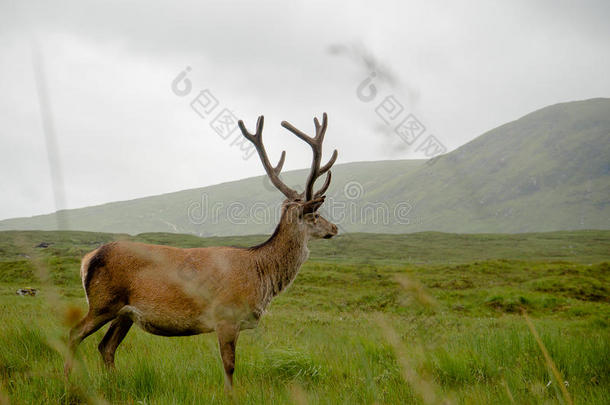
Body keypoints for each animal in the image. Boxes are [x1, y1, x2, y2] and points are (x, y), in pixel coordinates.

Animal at [64, 111, 340, 388]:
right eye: (315, 214)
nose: (335, 227)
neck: (261, 274)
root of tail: (88, 258)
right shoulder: (226, 316)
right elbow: (229, 366)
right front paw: (231, 394)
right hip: (103, 302)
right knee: (73, 334)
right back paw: (68, 381)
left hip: (125, 313)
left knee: (106, 347)